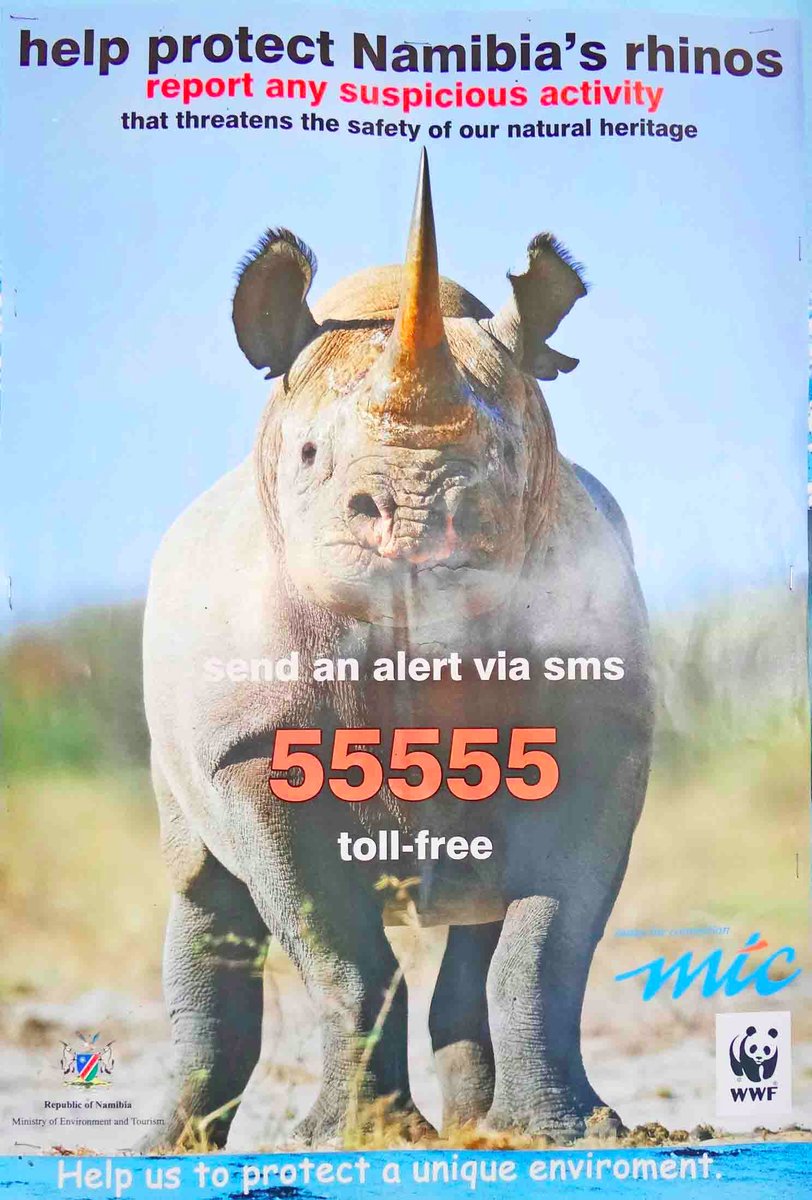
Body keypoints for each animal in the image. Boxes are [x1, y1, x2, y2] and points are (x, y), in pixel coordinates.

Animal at [141, 151, 654, 1149]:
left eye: (507, 457)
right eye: (307, 454)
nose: (419, 509)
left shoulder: (601, 725)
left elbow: (549, 942)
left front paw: (576, 1134)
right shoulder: (252, 742)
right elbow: (340, 949)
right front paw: (354, 1139)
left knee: (482, 913)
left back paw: (484, 1131)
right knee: (204, 885)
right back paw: (161, 1152)